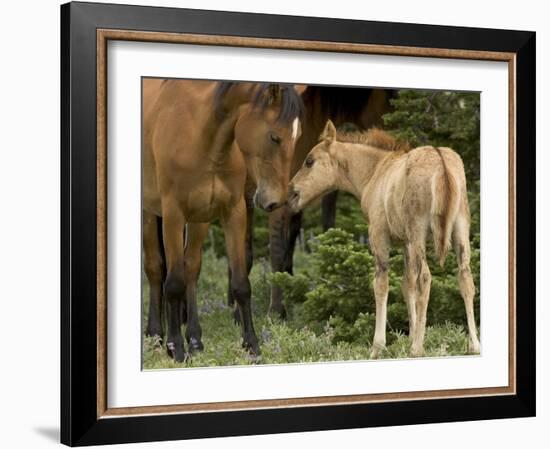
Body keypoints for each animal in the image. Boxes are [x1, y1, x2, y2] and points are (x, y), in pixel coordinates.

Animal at [144, 79, 304, 362]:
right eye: (274, 137)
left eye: (297, 137)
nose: (276, 201)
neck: (202, 135)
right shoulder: (173, 214)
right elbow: (173, 282)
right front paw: (176, 348)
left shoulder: (231, 213)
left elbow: (240, 283)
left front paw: (251, 345)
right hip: (151, 214)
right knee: (155, 269)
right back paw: (156, 336)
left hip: (197, 221)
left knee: (191, 268)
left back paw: (195, 339)